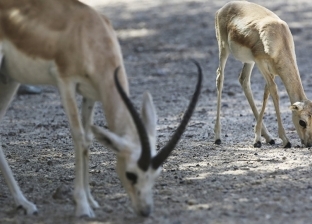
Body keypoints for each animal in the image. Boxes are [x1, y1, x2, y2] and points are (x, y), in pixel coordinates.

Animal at [0, 0, 202, 218]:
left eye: (156, 174)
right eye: (131, 174)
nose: (145, 211)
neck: (89, 34)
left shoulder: (91, 93)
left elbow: (89, 138)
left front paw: (91, 200)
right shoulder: (66, 83)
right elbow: (79, 137)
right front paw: (82, 206)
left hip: (10, 80)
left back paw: (23, 203)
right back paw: (25, 202)